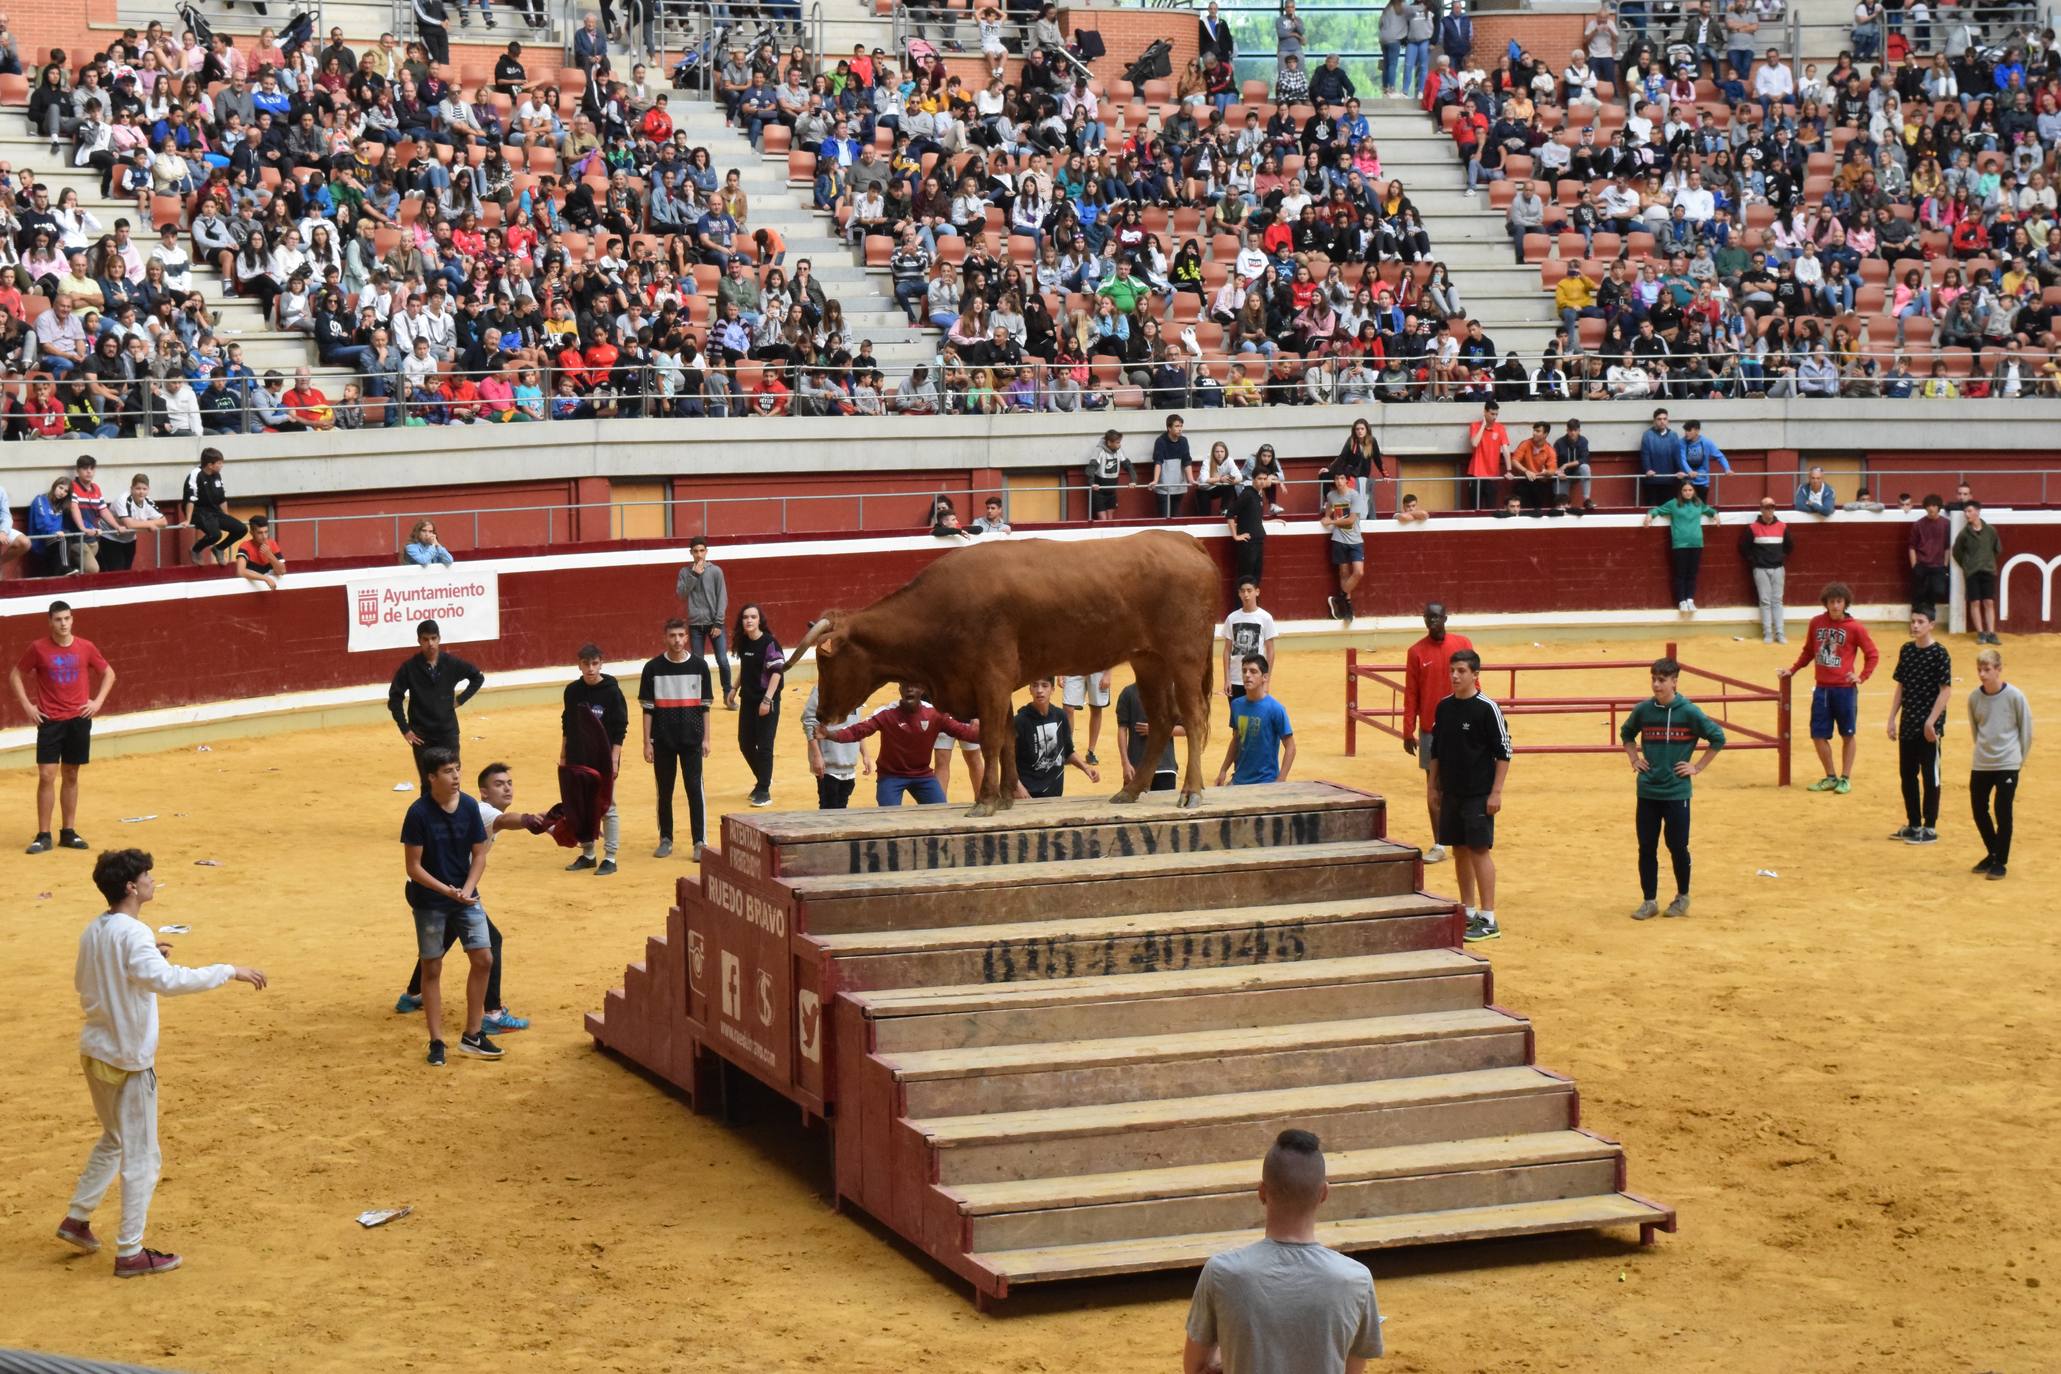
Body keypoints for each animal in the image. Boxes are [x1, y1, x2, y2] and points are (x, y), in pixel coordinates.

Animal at [779, 531, 1211, 815]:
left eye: (826, 660)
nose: (822, 715)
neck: (938, 612)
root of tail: (1184, 541)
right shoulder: (996, 686)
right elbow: (1005, 739)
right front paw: (1004, 797)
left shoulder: (990, 679)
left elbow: (990, 740)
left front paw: (984, 801)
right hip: (1149, 660)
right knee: (1160, 721)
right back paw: (1131, 791)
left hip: (1185, 656)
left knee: (1191, 719)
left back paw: (1191, 792)